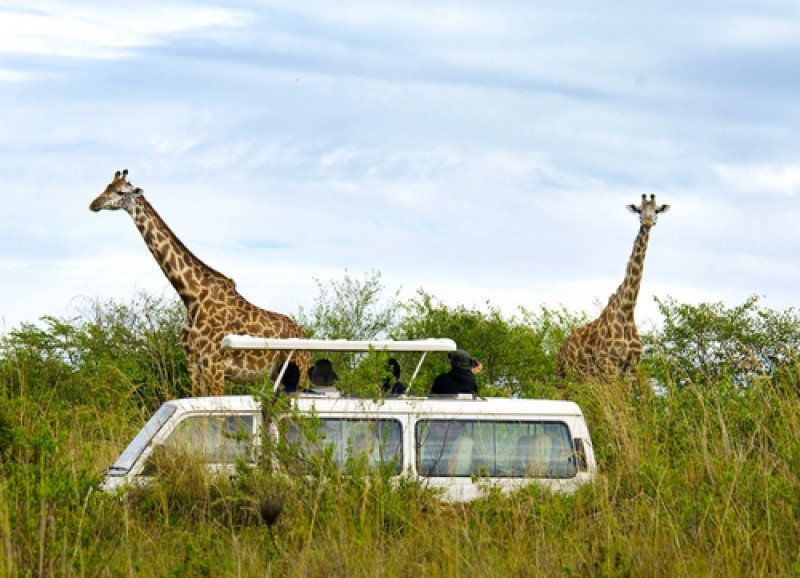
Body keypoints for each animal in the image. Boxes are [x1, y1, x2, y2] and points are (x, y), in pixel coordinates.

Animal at [90, 170, 310, 396]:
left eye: (120, 191)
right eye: (107, 186)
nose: (94, 204)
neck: (191, 296)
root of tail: (304, 334)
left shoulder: (215, 365)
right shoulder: (193, 363)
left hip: (299, 372)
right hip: (278, 375)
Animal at [556, 194, 668, 382]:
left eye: (657, 210)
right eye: (639, 209)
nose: (647, 221)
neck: (627, 311)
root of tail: (561, 349)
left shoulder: (631, 368)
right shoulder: (608, 365)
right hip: (565, 376)